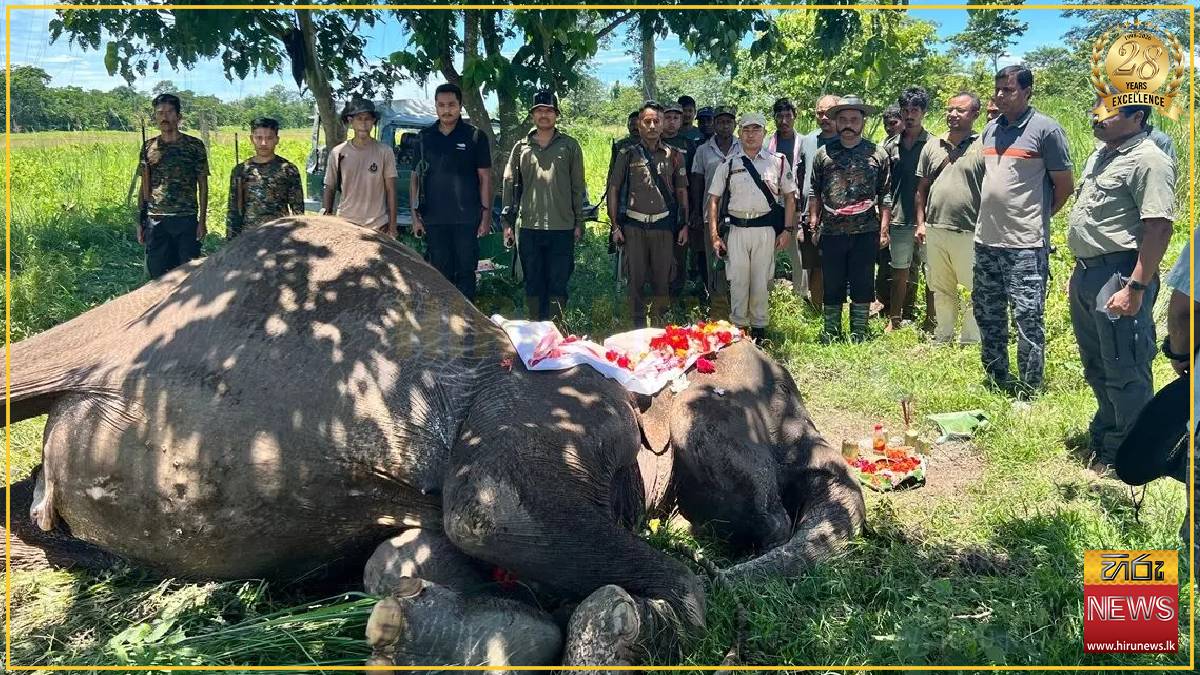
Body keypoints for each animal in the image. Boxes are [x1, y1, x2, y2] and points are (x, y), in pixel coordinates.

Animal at [4, 216, 865, 668]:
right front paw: (618, 622)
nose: (774, 516)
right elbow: (492, 508)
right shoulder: (552, 402)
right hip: (107, 326)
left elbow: (399, 558)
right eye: (775, 409)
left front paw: (408, 623)